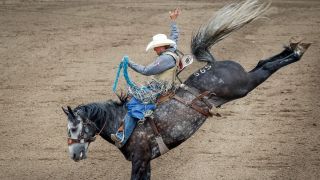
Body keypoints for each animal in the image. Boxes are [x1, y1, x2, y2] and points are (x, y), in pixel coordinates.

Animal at [60, 0, 310, 179]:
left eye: (73, 129)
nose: (73, 155)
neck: (121, 122)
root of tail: (212, 63)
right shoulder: (146, 162)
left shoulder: (139, 161)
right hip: (243, 82)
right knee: (262, 62)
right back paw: (294, 46)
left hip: (242, 86)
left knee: (265, 67)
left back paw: (297, 51)